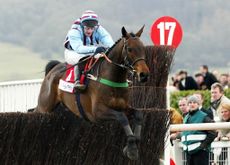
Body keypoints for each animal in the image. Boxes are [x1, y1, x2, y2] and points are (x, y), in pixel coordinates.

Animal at [35, 26, 149, 160]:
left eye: (143, 48)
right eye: (130, 49)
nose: (144, 75)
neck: (113, 78)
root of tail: (53, 69)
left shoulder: (123, 106)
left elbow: (138, 114)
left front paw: (135, 143)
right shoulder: (97, 112)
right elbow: (122, 117)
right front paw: (131, 148)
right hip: (44, 107)